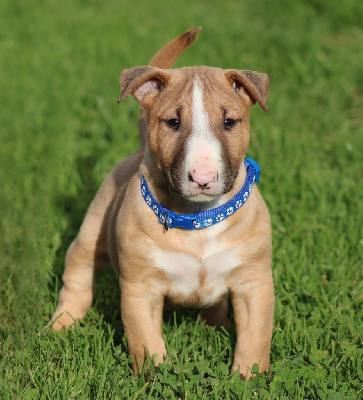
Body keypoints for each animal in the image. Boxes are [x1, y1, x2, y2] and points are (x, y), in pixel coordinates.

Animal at [47, 27, 276, 378]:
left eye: (229, 122)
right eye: (172, 123)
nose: (203, 176)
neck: (197, 218)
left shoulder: (255, 282)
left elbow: (255, 337)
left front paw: (247, 378)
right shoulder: (140, 290)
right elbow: (146, 342)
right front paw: (155, 378)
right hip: (91, 233)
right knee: (77, 273)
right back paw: (61, 324)